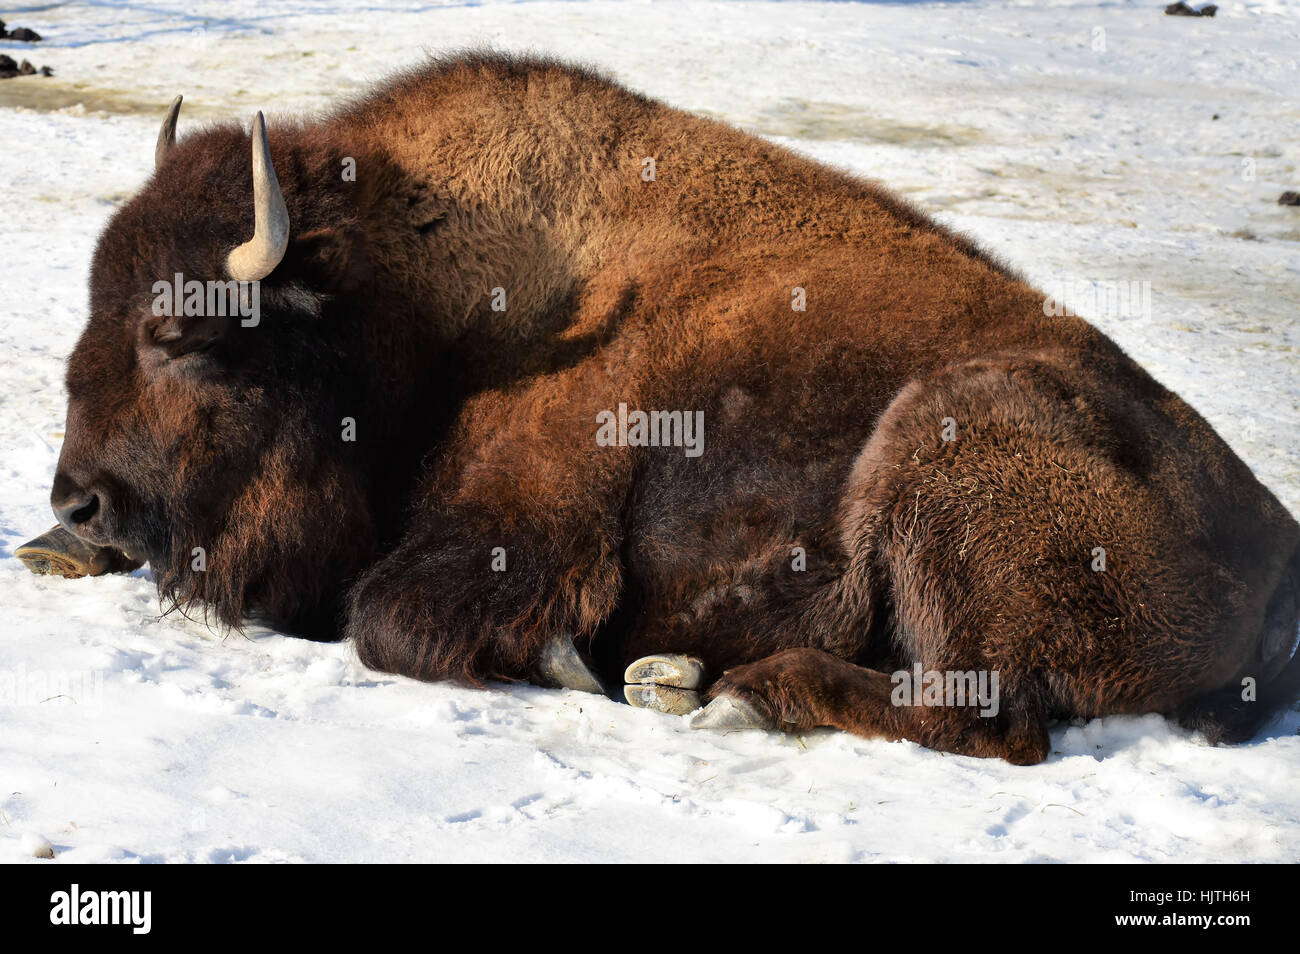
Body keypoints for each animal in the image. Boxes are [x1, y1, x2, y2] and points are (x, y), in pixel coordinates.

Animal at [45, 52, 1299, 764]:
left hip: (939, 442)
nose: (78, 500)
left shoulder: (527, 529)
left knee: (992, 721)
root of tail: (1276, 544)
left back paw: (730, 693)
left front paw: (577, 666)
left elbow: (390, 620)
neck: (426, 294)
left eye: (183, 335)